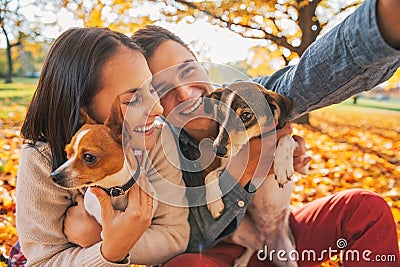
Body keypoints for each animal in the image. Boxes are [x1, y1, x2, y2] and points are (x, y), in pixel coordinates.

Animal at [205, 81, 308, 267]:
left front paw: (282, 166)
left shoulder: (302, 162)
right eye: (220, 112)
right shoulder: (227, 166)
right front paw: (214, 204)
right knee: (251, 247)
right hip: (235, 232)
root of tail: (264, 242)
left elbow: (287, 139)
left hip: (289, 256)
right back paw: (242, 261)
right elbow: (209, 176)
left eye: (246, 115)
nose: (218, 150)